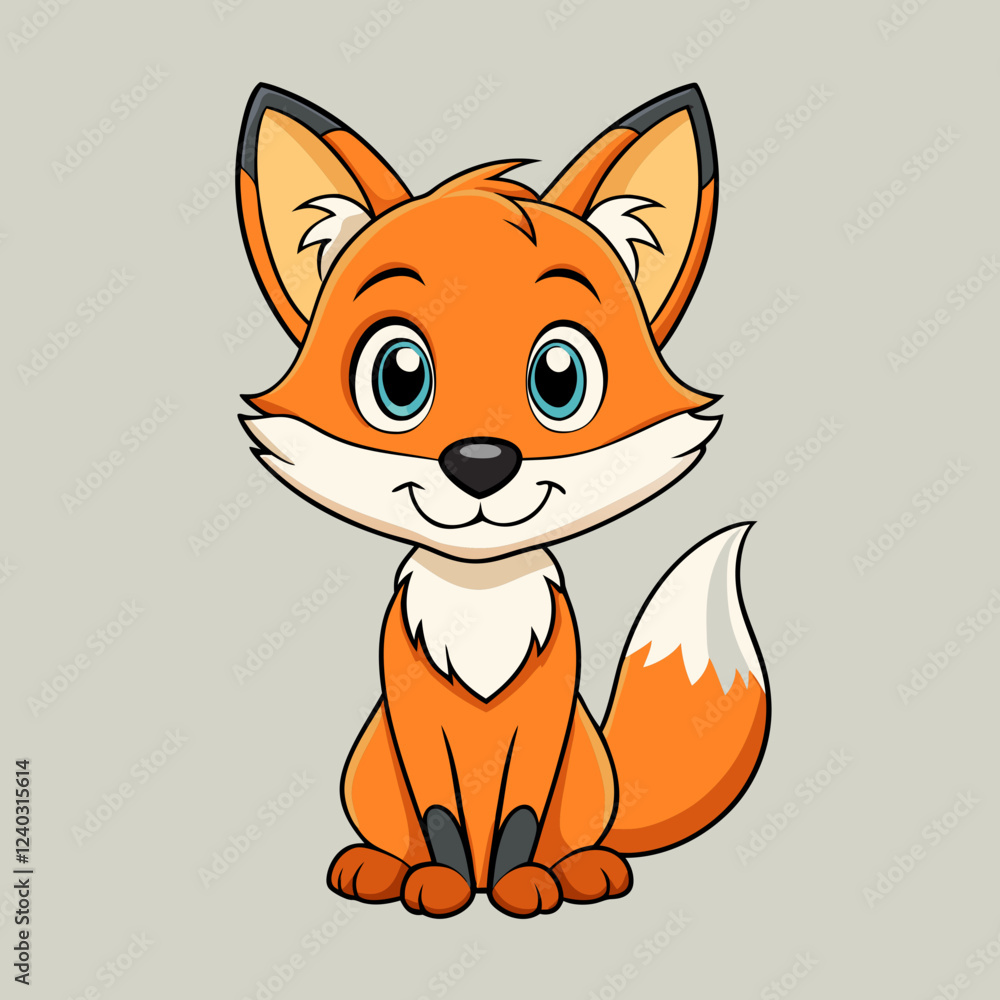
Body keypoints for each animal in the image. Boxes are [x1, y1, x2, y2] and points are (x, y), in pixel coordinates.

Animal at [234, 81, 771, 918]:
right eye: (399, 378)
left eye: (560, 378)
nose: (481, 462)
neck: (479, 602)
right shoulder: (414, 722)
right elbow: (440, 818)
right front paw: (445, 884)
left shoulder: (546, 721)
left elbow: (520, 814)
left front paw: (519, 884)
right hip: (367, 767)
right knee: (393, 833)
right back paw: (381, 869)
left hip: (587, 769)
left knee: (579, 834)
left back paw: (581, 869)